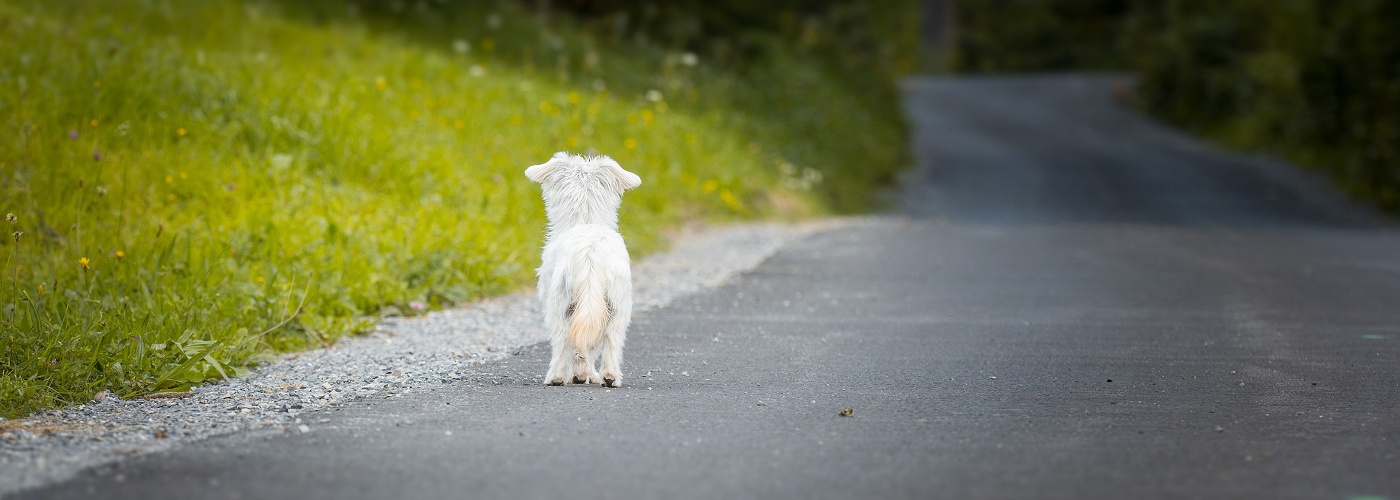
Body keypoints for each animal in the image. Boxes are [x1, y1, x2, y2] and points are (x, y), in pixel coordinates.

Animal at [526, 151, 641, 386]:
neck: (584, 219)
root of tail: (591, 254)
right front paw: (586, 374)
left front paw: (580, 375)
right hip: (618, 305)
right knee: (611, 340)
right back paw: (609, 377)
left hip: (559, 304)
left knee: (562, 340)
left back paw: (557, 377)